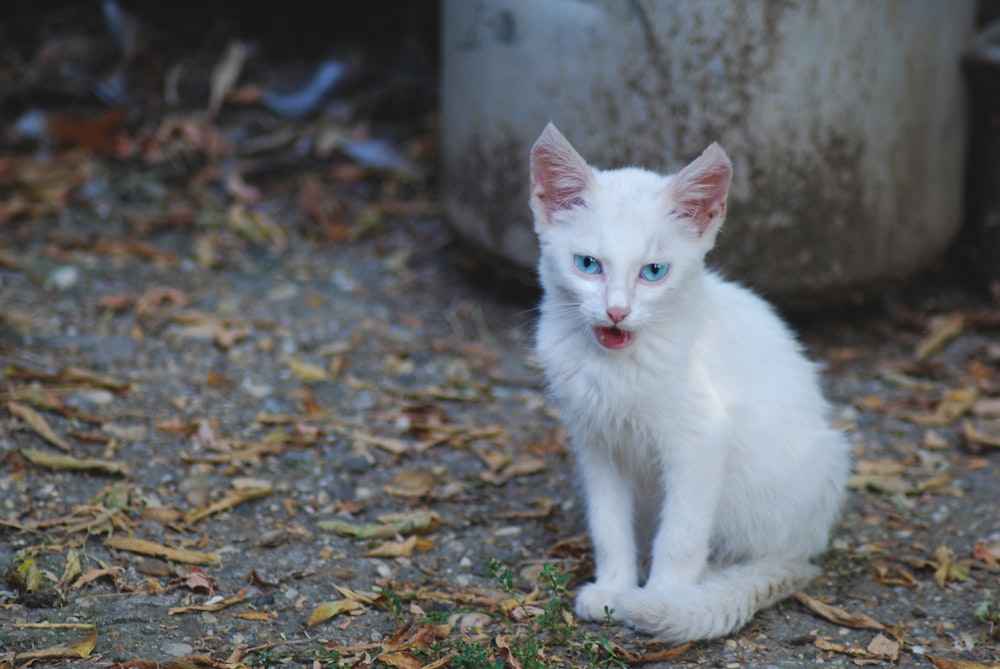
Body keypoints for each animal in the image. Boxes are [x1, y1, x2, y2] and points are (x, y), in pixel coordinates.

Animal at [528, 122, 848, 640]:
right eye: (588, 264)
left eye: (654, 271)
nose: (617, 311)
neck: (617, 366)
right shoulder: (595, 440)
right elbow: (608, 523)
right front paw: (613, 586)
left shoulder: (701, 440)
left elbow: (681, 532)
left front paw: (662, 597)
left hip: (814, 465)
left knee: (762, 556)